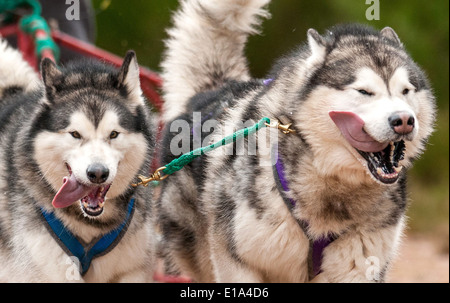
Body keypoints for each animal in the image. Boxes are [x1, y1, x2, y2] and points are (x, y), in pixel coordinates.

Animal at [159, 0, 436, 284]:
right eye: (364, 91)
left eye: (406, 91)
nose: (404, 120)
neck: (332, 188)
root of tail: (215, 91)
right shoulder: (238, 263)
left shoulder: (360, 267)